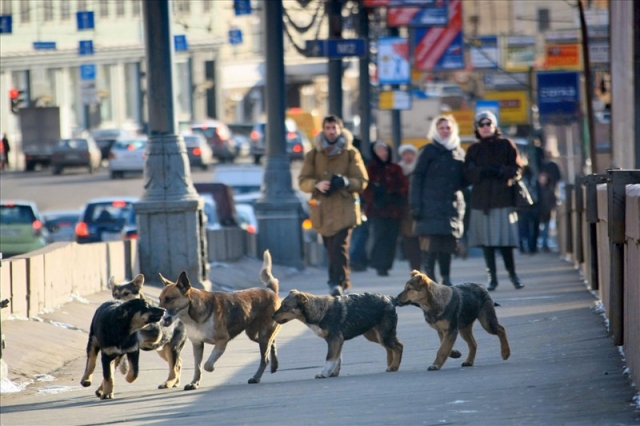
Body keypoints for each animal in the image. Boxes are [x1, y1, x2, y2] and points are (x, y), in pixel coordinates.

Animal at [158, 251, 280, 392]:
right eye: (159, 299)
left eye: (169, 299)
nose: (157, 314)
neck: (192, 315)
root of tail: (270, 290)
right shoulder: (197, 344)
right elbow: (197, 367)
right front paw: (194, 383)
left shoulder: (222, 341)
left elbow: (207, 365)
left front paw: (210, 369)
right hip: (255, 335)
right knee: (272, 342)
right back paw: (274, 364)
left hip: (263, 335)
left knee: (264, 358)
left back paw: (256, 377)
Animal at [272, 290, 402, 380]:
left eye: (285, 306)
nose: (272, 316)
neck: (319, 311)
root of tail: (390, 299)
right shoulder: (336, 341)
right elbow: (337, 359)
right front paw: (333, 373)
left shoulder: (334, 339)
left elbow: (330, 358)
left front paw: (324, 373)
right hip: (375, 335)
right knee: (390, 348)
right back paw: (391, 365)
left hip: (384, 334)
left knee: (398, 346)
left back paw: (394, 366)